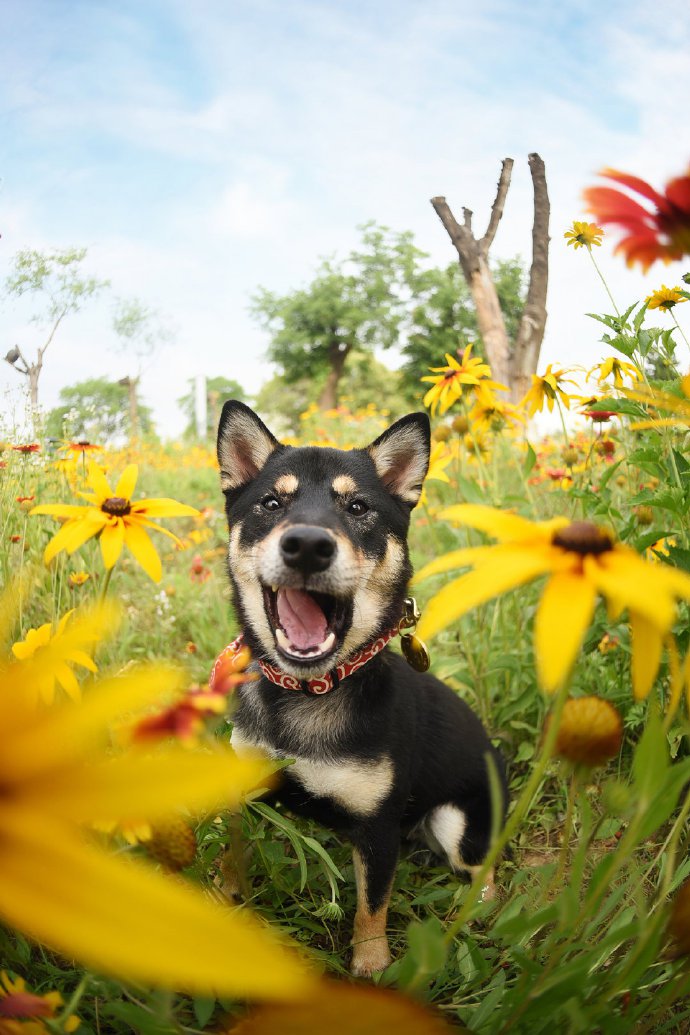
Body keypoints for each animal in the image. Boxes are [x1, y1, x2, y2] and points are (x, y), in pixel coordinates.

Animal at [216, 399, 506, 972]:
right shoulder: (245, 786)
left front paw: (371, 966)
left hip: (457, 826)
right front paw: (221, 896)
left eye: (357, 508)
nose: (307, 545)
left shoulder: (377, 831)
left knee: (488, 877)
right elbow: (233, 854)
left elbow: (372, 906)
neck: (305, 693)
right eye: (270, 502)